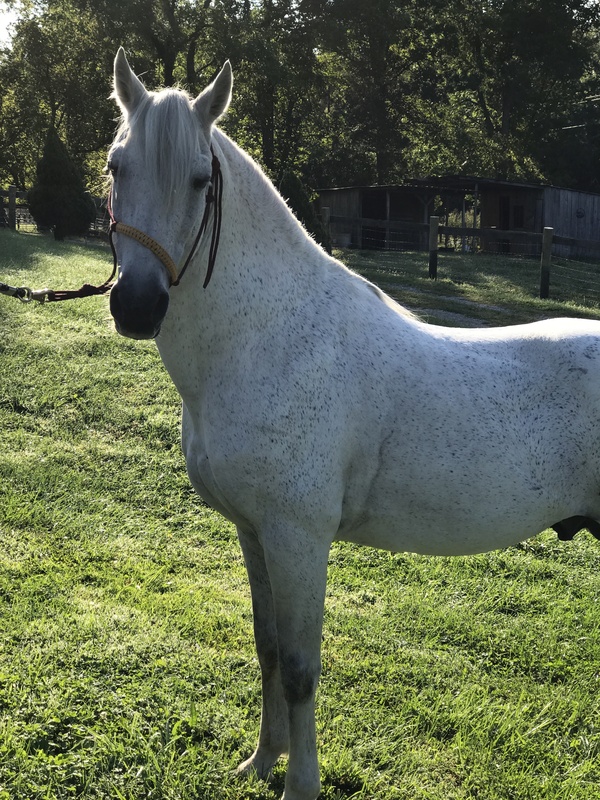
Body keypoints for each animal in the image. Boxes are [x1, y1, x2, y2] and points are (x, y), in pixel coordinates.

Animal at [107, 47, 600, 800]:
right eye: (116, 166)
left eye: (199, 180)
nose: (135, 305)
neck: (267, 339)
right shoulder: (255, 531)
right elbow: (268, 648)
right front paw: (262, 761)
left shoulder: (299, 537)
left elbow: (302, 669)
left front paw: (301, 783)